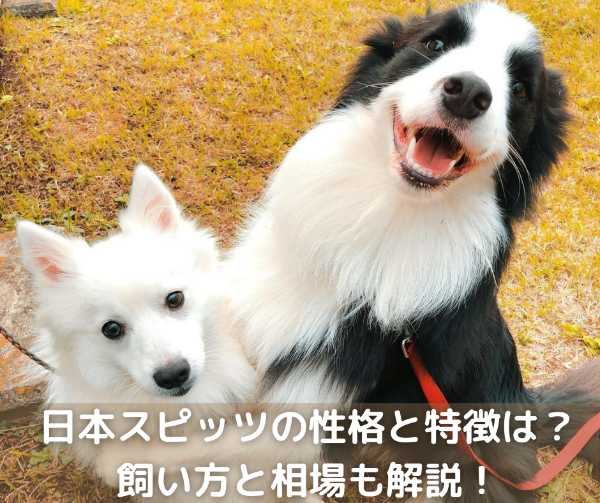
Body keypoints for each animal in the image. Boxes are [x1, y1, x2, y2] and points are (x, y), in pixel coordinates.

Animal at [225, 2, 599, 500]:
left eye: (520, 89)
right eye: (434, 43)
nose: (469, 93)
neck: (386, 216)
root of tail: (532, 407)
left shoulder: (313, 395)